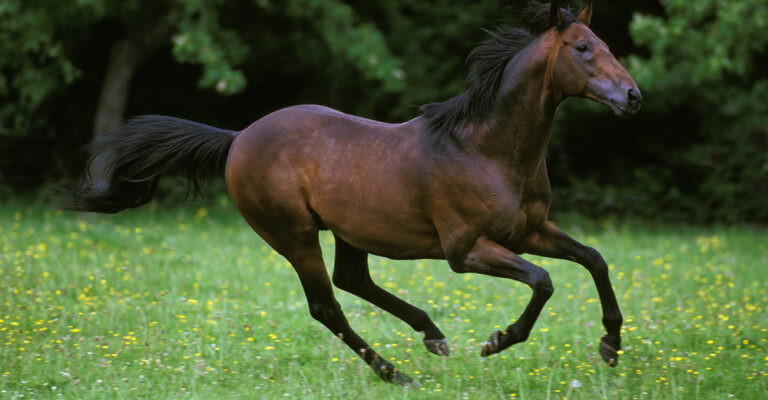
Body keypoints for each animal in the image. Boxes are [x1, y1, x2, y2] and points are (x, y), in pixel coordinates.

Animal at [65, 0, 641, 385]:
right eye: (583, 48)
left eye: (609, 46)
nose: (633, 97)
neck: (486, 149)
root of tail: (238, 138)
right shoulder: (465, 251)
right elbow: (543, 281)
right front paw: (497, 341)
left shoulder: (530, 231)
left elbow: (595, 259)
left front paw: (610, 346)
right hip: (295, 236)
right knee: (327, 305)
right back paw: (396, 372)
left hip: (349, 229)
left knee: (353, 280)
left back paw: (431, 335)